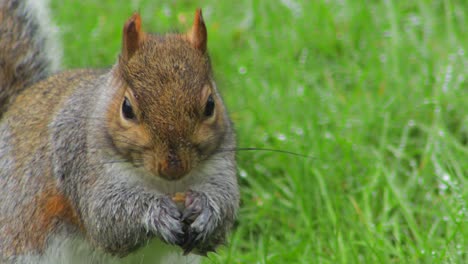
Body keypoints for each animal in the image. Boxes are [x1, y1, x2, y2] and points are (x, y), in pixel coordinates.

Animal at [0, 1, 239, 262]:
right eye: (127, 108)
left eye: (210, 105)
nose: (173, 168)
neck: (164, 185)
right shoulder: (78, 161)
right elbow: (106, 218)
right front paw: (156, 212)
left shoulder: (221, 166)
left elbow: (227, 202)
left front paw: (206, 211)